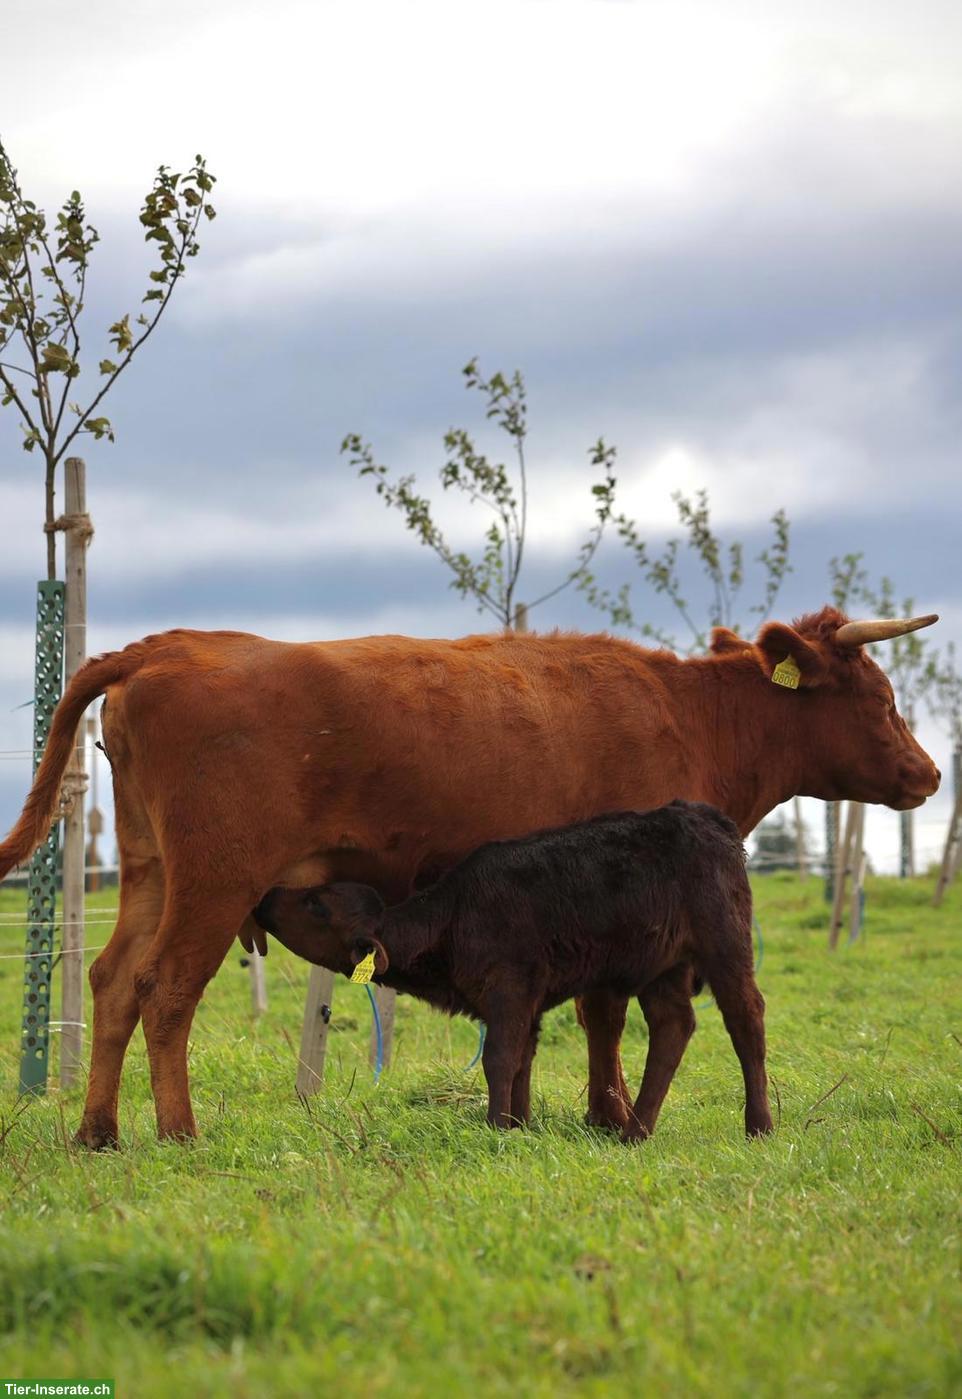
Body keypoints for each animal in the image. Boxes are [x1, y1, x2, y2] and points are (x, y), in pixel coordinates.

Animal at [255, 802, 773, 1140]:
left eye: (316, 904)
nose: (266, 897)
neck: (455, 915)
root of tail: (700, 814)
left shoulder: (510, 988)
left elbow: (499, 1057)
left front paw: (496, 1129)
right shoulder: (529, 1001)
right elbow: (522, 1058)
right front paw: (521, 1126)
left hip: (724, 942)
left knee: (746, 1019)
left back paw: (759, 1125)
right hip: (660, 967)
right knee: (673, 1027)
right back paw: (635, 1132)